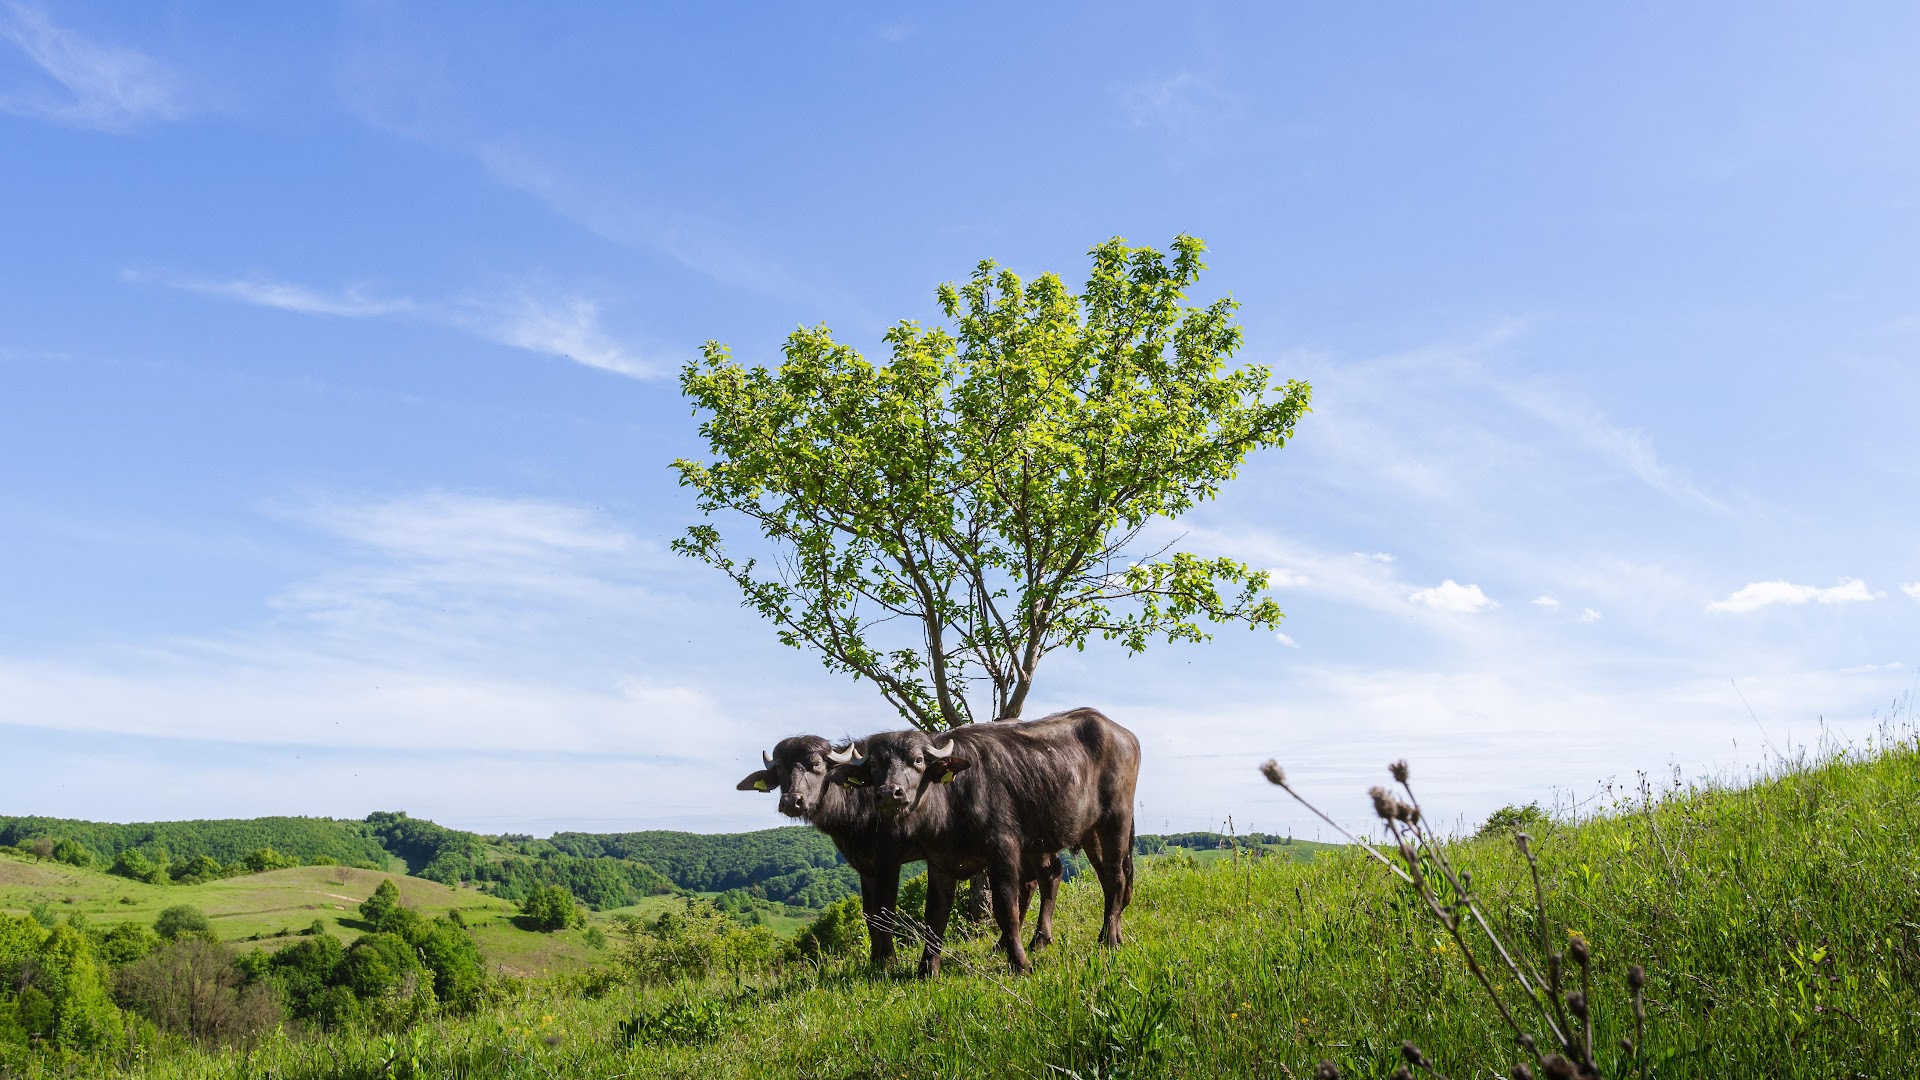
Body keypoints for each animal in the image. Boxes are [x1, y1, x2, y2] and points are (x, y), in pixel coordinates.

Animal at [737, 734, 1062, 970]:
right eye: (780, 768)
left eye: (816, 764)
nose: (793, 801)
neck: (860, 801)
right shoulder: (865, 867)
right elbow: (870, 914)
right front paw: (874, 959)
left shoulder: (889, 862)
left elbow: (886, 910)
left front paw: (888, 960)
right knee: (1039, 879)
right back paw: (1015, 941)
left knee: (1042, 879)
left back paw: (1035, 941)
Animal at [831, 707, 1139, 975]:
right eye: (873, 764)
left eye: (917, 760)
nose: (889, 793)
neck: (953, 800)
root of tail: (1125, 735)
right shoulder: (939, 862)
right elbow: (935, 915)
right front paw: (927, 969)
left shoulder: (1003, 850)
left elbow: (1005, 908)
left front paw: (1020, 964)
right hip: (1087, 831)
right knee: (1093, 877)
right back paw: (1095, 935)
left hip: (1116, 821)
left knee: (1115, 877)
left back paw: (1109, 940)